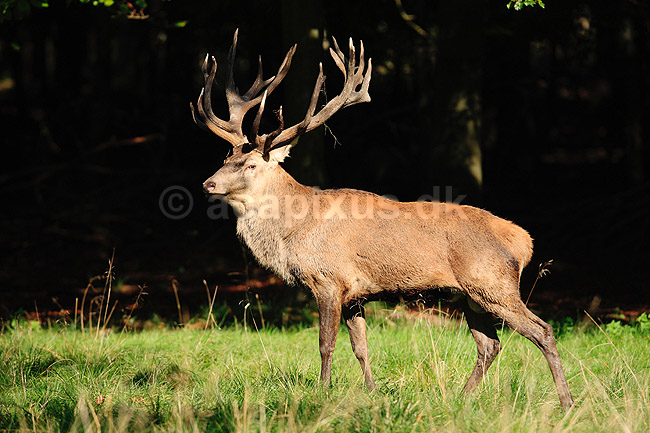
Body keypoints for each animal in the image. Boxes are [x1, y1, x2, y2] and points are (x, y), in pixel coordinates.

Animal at [191, 30, 574, 411]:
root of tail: (524, 242)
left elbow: (325, 344)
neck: (293, 232)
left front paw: (322, 393)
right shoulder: (355, 295)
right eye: (225, 158)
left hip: (492, 283)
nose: (208, 183)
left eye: (251, 164)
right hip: (469, 296)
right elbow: (361, 348)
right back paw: (460, 399)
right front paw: (372, 392)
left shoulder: (329, 279)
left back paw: (567, 402)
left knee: (542, 330)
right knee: (489, 343)